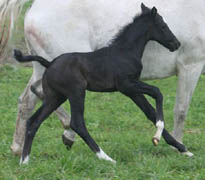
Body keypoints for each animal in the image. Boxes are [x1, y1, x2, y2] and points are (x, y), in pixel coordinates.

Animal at [2, 0, 205, 155]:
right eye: (163, 25)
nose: (176, 43)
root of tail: (33, 8)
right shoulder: (190, 65)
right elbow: (179, 109)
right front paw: (178, 146)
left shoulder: (131, 86)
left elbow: (151, 110)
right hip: (67, 78)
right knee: (42, 96)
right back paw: (69, 133)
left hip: (43, 69)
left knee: (28, 98)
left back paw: (20, 148)